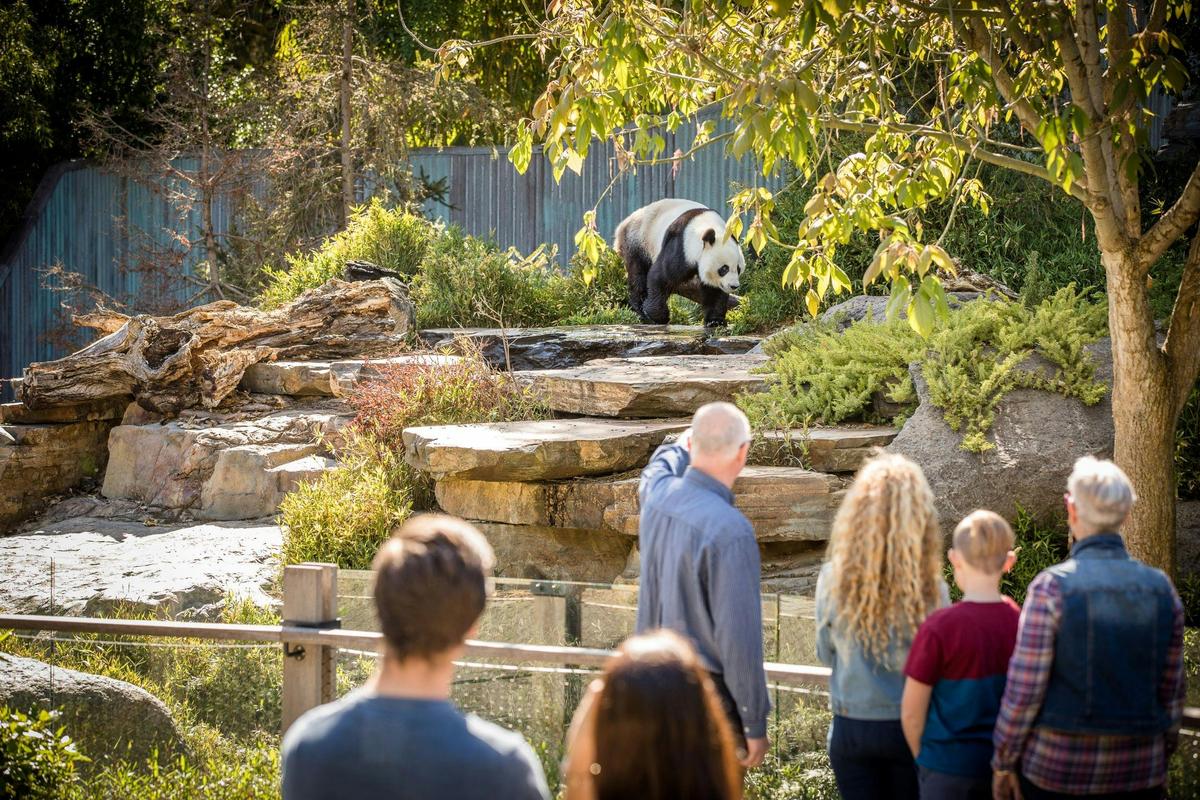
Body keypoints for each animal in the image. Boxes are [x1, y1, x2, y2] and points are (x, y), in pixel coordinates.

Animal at [614, 198, 745, 328]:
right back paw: (640, 309)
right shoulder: (681, 245)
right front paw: (658, 316)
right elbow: (660, 277)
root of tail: (623, 224)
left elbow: (715, 291)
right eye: (724, 269)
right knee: (638, 273)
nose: (734, 286)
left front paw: (715, 321)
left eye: (738, 269)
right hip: (638, 240)